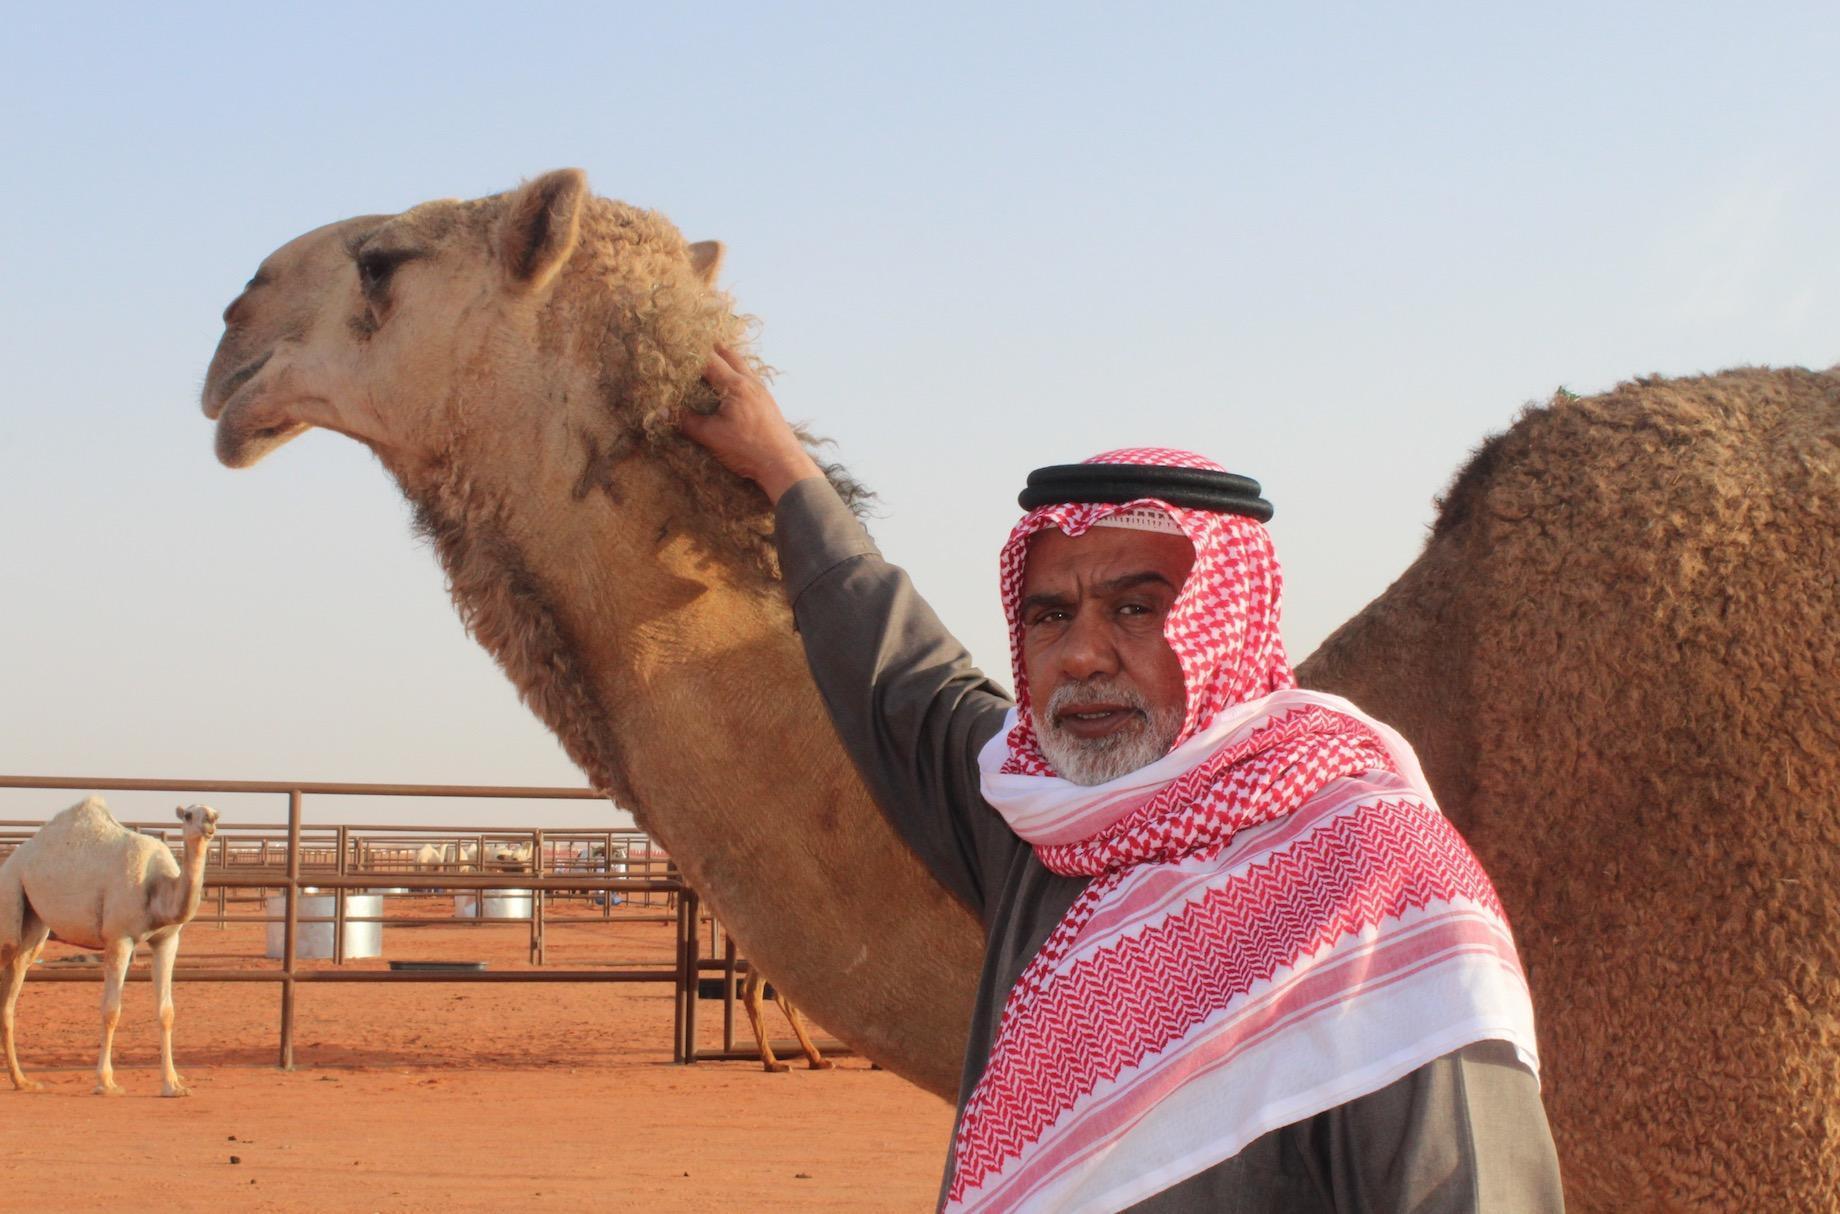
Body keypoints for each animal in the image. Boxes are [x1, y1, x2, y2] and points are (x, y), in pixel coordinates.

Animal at [0, 801, 219, 1096]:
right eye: (188, 815)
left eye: (215, 813)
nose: (208, 823)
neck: (157, 888)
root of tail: (12, 860)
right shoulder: (119, 938)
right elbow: (111, 1010)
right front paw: (105, 1083)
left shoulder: (168, 940)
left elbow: (167, 1012)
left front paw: (173, 1085)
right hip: (9, 896)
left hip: (33, 925)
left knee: (11, 991)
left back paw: (22, 1081)